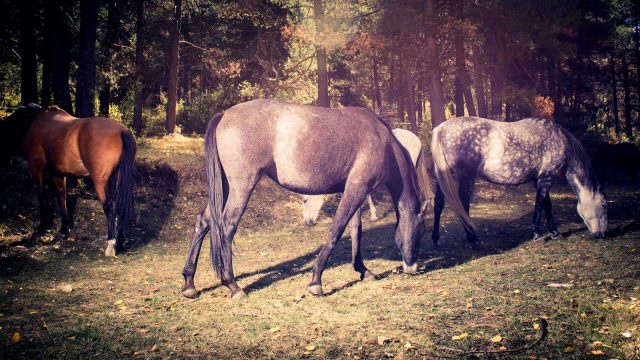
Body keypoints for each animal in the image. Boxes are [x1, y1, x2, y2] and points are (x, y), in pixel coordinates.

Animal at [0, 104, 135, 256]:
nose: (7, 163)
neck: (32, 122)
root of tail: (122, 132)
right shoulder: (57, 173)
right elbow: (61, 197)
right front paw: (64, 229)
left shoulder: (36, 167)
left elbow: (41, 195)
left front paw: (43, 226)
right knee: (120, 205)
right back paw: (121, 242)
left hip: (100, 182)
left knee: (109, 206)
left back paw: (111, 245)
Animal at [432, 116, 608, 246]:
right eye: (605, 205)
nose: (602, 234)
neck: (561, 140)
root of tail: (441, 128)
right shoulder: (547, 177)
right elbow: (540, 204)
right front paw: (537, 234)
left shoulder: (539, 178)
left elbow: (547, 205)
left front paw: (555, 232)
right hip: (465, 176)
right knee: (463, 204)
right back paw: (473, 239)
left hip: (444, 177)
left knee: (438, 204)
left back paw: (436, 239)